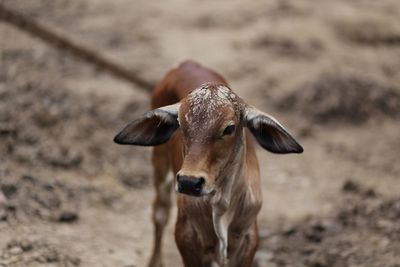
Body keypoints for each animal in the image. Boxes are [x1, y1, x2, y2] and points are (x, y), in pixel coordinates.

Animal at [114, 60, 302, 267]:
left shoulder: (248, 239)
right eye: (180, 124)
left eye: (229, 128)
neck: (221, 203)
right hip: (159, 163)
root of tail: (188, 63)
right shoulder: (186, 237)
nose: (189, 182)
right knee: (160, 212)